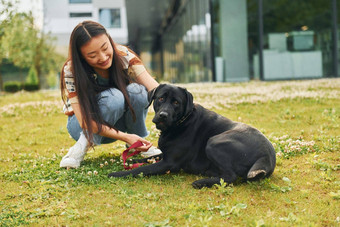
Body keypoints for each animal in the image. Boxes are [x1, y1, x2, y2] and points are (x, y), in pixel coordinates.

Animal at [109, 84, 276, 189]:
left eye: (176, 102)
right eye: (161, 98)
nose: (163, 115)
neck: (181, 122)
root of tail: (267, 156)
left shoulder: (169, 163)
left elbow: (140, 170)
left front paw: (117, 173)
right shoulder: (165, 154)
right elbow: (147, 159)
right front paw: (131, 160)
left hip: (213, 142)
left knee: (230, 177)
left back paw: (201, 182)